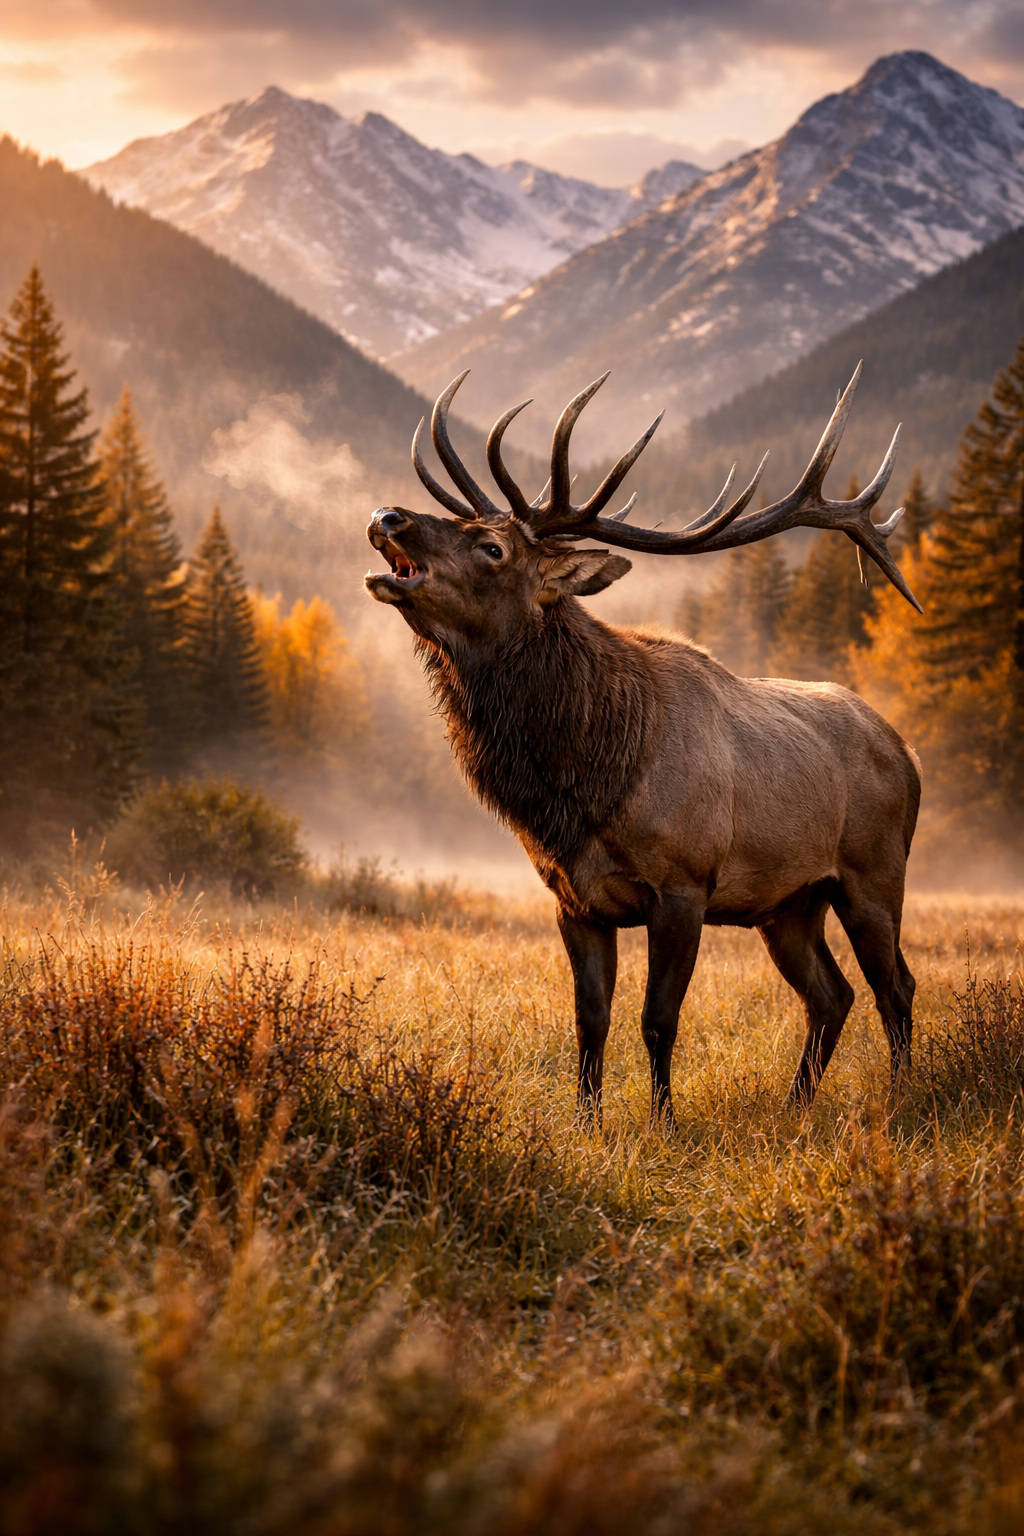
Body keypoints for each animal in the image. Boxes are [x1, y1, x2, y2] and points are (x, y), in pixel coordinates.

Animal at [364, 366, 922, 1125]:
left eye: (492, 549)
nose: (388, 517)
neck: (586, 783)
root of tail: (909, 755)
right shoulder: (572, 898)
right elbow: (589, 1018)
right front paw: (584, 1123)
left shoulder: (684, 884)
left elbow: (658, 1018)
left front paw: (662, 1124)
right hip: (790, 904)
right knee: (832, 994)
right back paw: (795, 1107)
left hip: (873, 874)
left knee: (897, 988)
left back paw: (903, 1099)